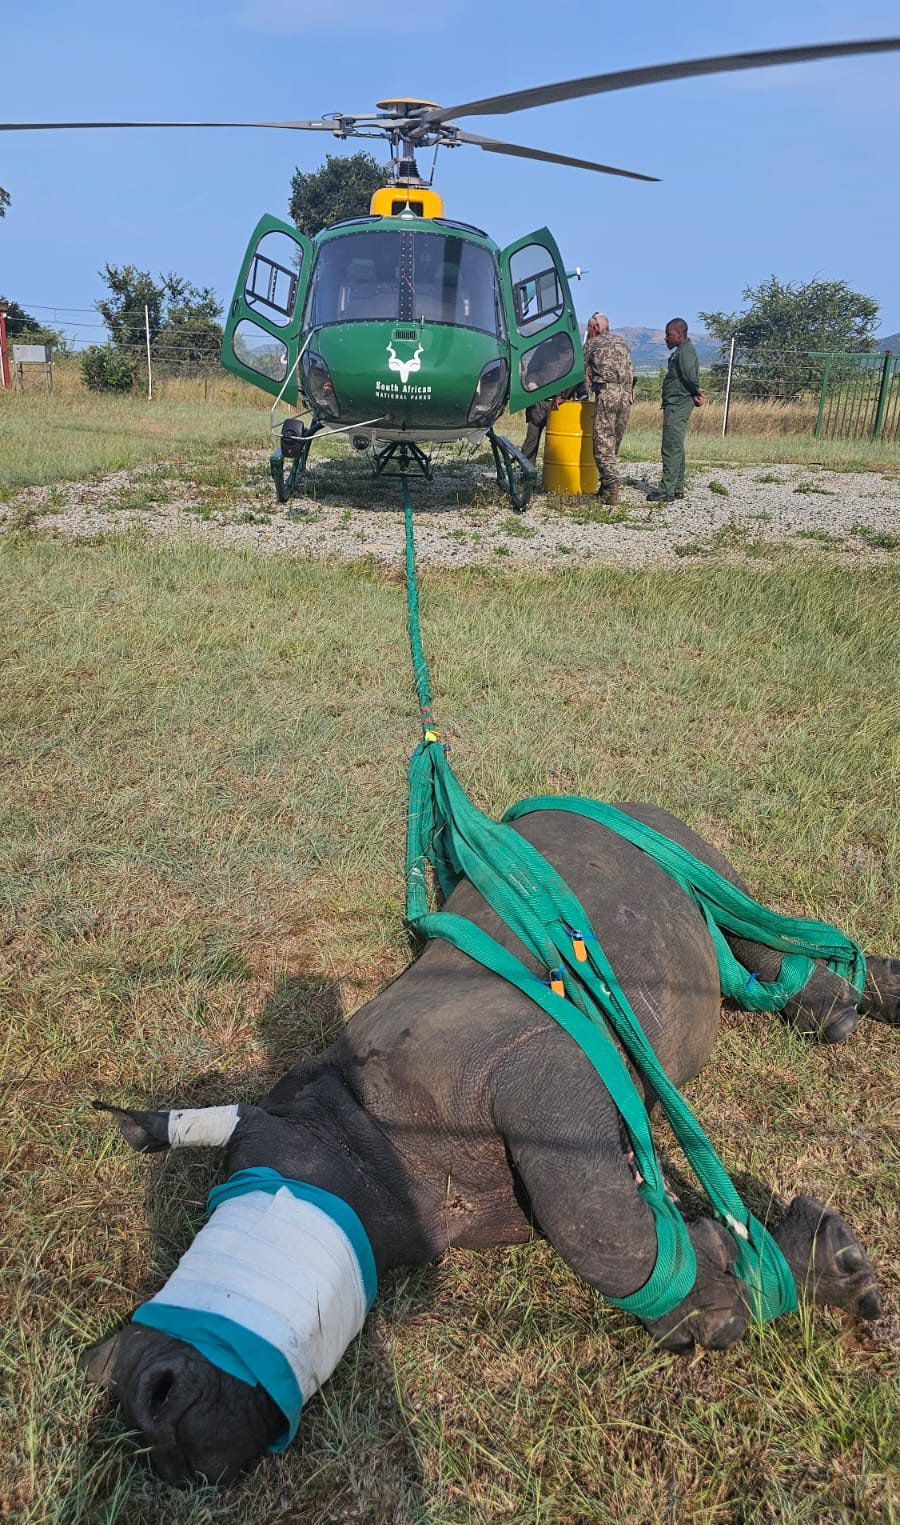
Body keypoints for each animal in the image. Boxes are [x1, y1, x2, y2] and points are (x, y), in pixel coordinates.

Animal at [82, 803, 898, 1486]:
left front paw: (784, 1282)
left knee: (755, 928)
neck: (354, 1133)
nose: (135, 1391)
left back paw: (835, 1010)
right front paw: (773, 1269)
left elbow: (594, 1227)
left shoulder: (536, 1064)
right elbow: (623, 1216)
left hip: (678, 846)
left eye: (241, 1186)